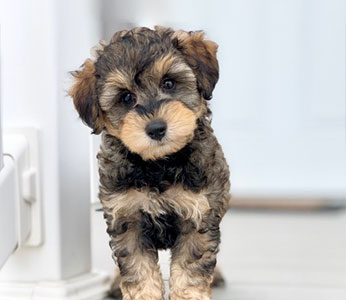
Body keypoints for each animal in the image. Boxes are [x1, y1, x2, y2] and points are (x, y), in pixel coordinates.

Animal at [69, 26, 231, 300]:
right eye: (126, 97)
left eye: (169, 83)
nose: (156, 128)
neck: (158, 165)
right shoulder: (127, 218)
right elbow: (137, 267)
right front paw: (143, 294)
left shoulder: (199, 213)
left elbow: (191, 265)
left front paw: (189, 295)